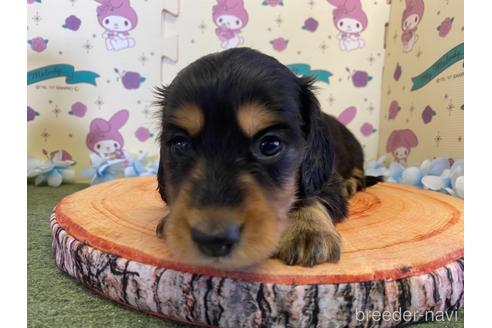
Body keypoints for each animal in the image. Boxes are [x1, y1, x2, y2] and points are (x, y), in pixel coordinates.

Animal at [156, 47, 374, 270]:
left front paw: (308, 229)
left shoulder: (326, 179)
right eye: (181, 145)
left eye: (270, 145)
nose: (213, 241)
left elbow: (310, 196)